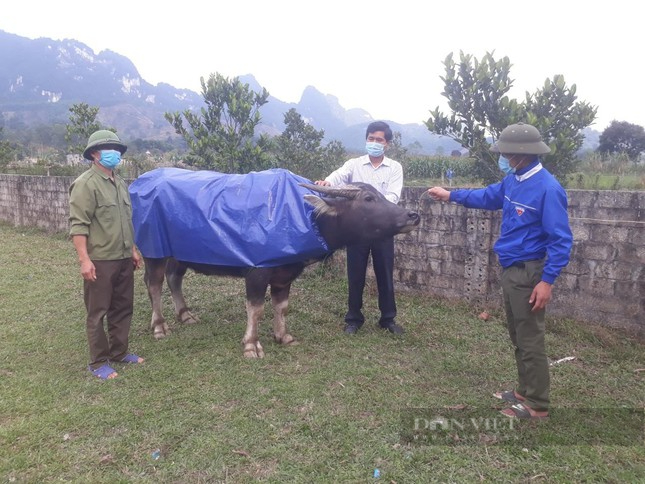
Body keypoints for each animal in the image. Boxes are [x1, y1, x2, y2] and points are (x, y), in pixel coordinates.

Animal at [131, 168, 420, 358]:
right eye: (368, 199)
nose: (413, 215)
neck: (300, 216)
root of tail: (139, 183)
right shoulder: (257, 273)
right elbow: (256, 309)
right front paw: (251, 345)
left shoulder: (285, 275)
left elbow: (282, 307)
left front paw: (283, 336)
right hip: (153, 252)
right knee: (153, 284)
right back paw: (159, 326)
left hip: (178, 252)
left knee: (174, 278)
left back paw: (185, 314)